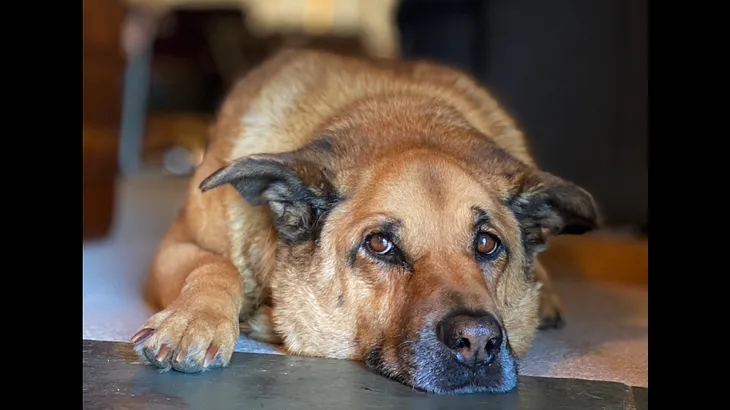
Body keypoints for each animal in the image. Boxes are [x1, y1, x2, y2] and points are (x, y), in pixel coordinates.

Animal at [131, 48, 596, 394]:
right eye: (379, 244)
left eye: (487, 243)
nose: (478, 342)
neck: (402, 114)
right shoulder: (175, 245)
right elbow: (215, 265)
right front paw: (194, 320)